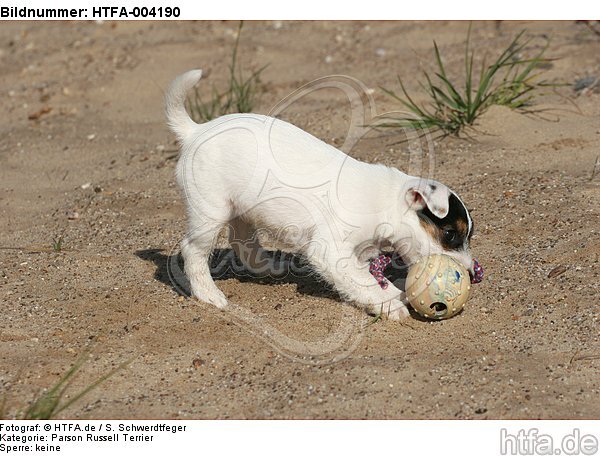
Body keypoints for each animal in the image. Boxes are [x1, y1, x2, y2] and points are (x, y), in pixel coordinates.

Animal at [164, 70, 474, 320]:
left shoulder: (358, 253)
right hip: (210, 212)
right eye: (449, 235)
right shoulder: (330, 251)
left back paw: (266, 267)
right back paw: (209, 295)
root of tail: (195, 131)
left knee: (241, 240)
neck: (386, 201)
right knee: (192, 250)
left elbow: (363, 278)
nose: (472, 274)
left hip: (242, 208)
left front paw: (389, 296)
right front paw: (389, 304)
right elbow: (364, 283)